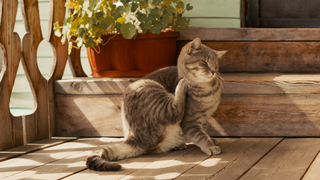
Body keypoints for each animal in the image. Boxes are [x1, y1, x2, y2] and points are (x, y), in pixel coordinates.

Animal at [86, 37, 226, 170]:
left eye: (215, 64)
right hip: (149, 90)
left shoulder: (203, 119)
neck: (209, 89)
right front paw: (211, 146)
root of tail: (134, 139)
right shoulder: (190, 123)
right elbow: (201, 136)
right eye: (204, 62)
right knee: (174, 111)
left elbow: (204, 131)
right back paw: (181, 86)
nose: (213, 71)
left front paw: (212, 140)